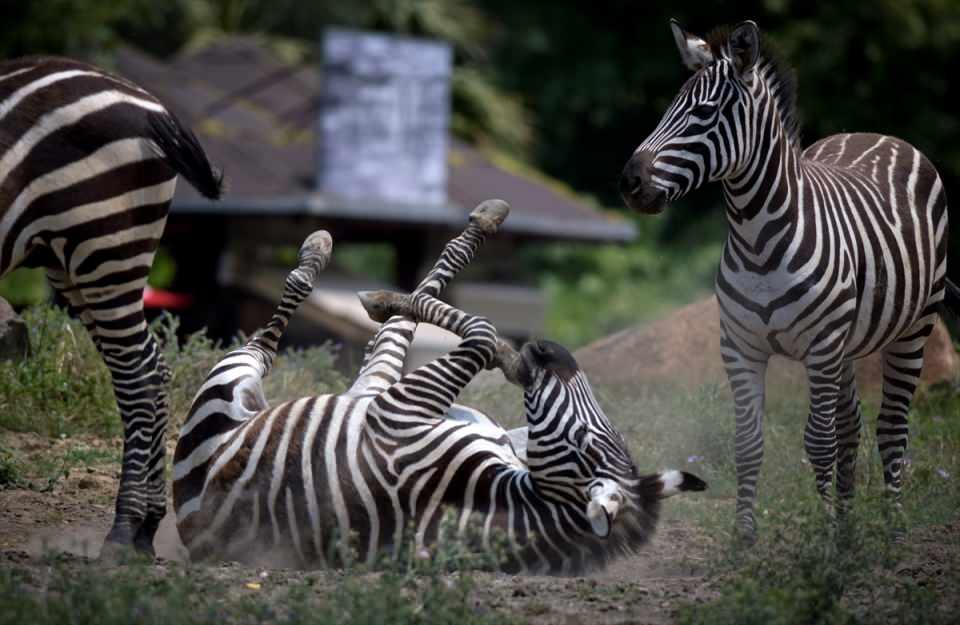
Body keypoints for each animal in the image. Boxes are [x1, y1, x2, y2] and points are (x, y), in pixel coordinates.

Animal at [0, 57, 223, 555]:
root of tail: (151, 102)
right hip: (71, 261)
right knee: (153, 365)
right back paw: (146, 528)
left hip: (103, 243)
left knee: (138, 375)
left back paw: (124, 529)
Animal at [172, 200, 706, 574]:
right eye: (603, 439)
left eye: (588, 444)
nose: (552, 351)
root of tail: (190, 528)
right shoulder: (477, 427)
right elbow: (477, 333)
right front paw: (511, 357)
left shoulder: (396, 412)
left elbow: (482, 331)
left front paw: (507, 356)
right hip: (363, 389)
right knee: (388, 334)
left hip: (236, 377)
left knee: (275, 335)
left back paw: (328, 260)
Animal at [618, 20, 959, 542]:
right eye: (668, 109)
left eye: (703, 113)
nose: (630, 181)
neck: (758, 242)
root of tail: (878, 134)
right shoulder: (740, 347)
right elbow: (748, 441)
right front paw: (747, 536)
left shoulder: (819, 346)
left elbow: (816, 442)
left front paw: (819, 532)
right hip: (846, 346)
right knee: (851, 426)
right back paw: (847, 528)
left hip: (911, 331)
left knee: (891, 428)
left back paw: (892, 528)